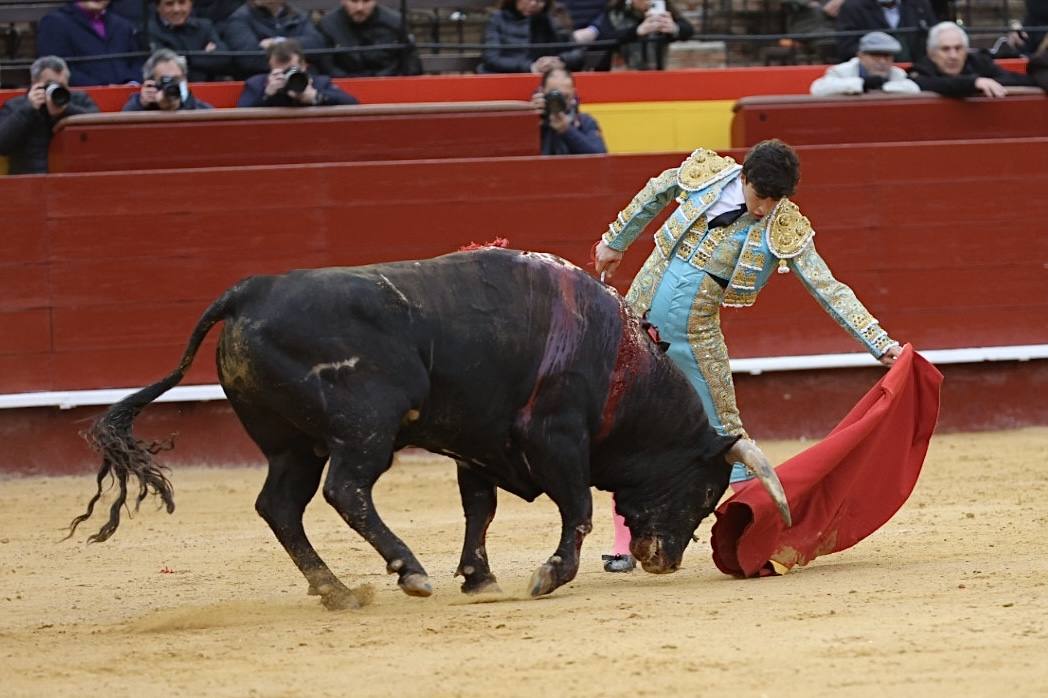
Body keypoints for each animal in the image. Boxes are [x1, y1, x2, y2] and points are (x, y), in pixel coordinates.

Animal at [69, 247, 788, 607]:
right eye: (706, 491)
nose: (664, 560)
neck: (618, 365)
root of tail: (249, 291)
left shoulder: (480, 443)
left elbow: (480, 508)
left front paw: (478, 576)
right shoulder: (556, 437)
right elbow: (578, 508)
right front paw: (549, 575)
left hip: (292, 444)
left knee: (280, 505)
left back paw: (337, 590)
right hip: (365, 426)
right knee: (347, 492)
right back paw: (407, 570)